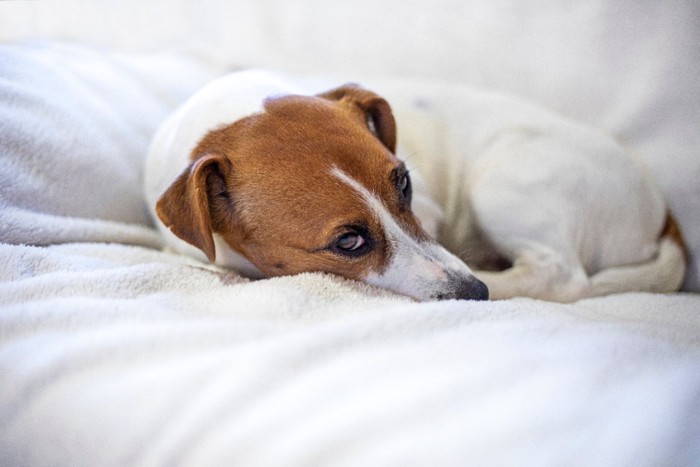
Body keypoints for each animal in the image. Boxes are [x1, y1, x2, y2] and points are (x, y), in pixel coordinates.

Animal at [145, 69, 688, 304]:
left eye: (404, 184)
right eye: (348, 241)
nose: (475, 292)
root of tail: (661, 212)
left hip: (506, 180)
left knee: (560, 277)